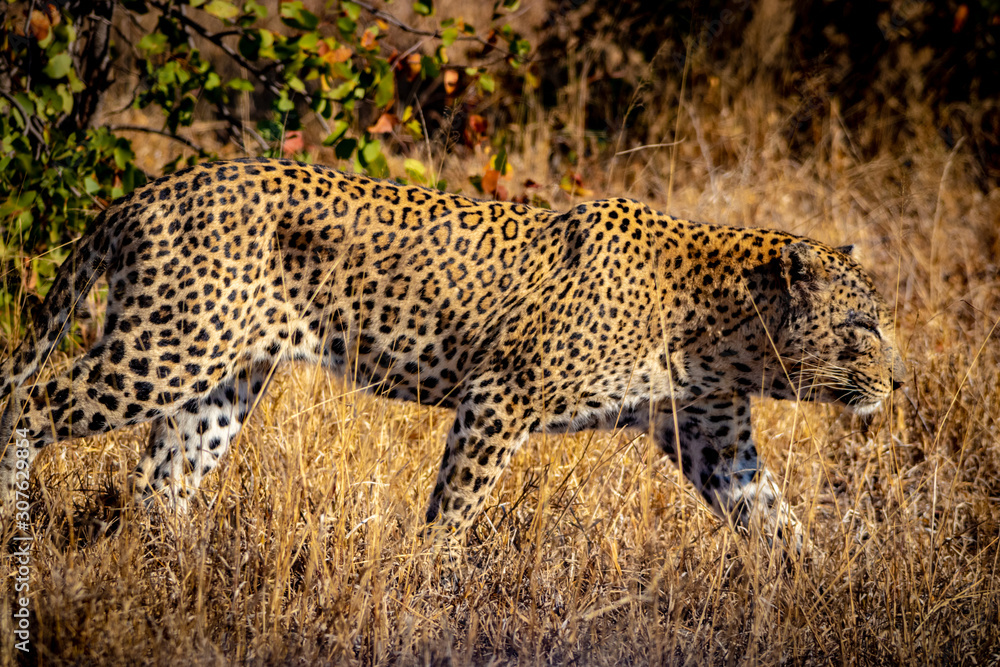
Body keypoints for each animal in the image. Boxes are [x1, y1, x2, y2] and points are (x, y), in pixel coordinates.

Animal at [0, 157, 905, 548]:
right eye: (864, 327)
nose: (900, 380)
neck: (726, 334)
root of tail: (143, 192)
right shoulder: (500, 395)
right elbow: (456, 507)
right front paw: (425, 581)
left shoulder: (714, 436)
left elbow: (779, 523)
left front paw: (821, 604)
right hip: (166, 346)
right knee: (29, 403)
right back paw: (17, 530)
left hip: (221, 377)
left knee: (163, 480)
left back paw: (173, 571)